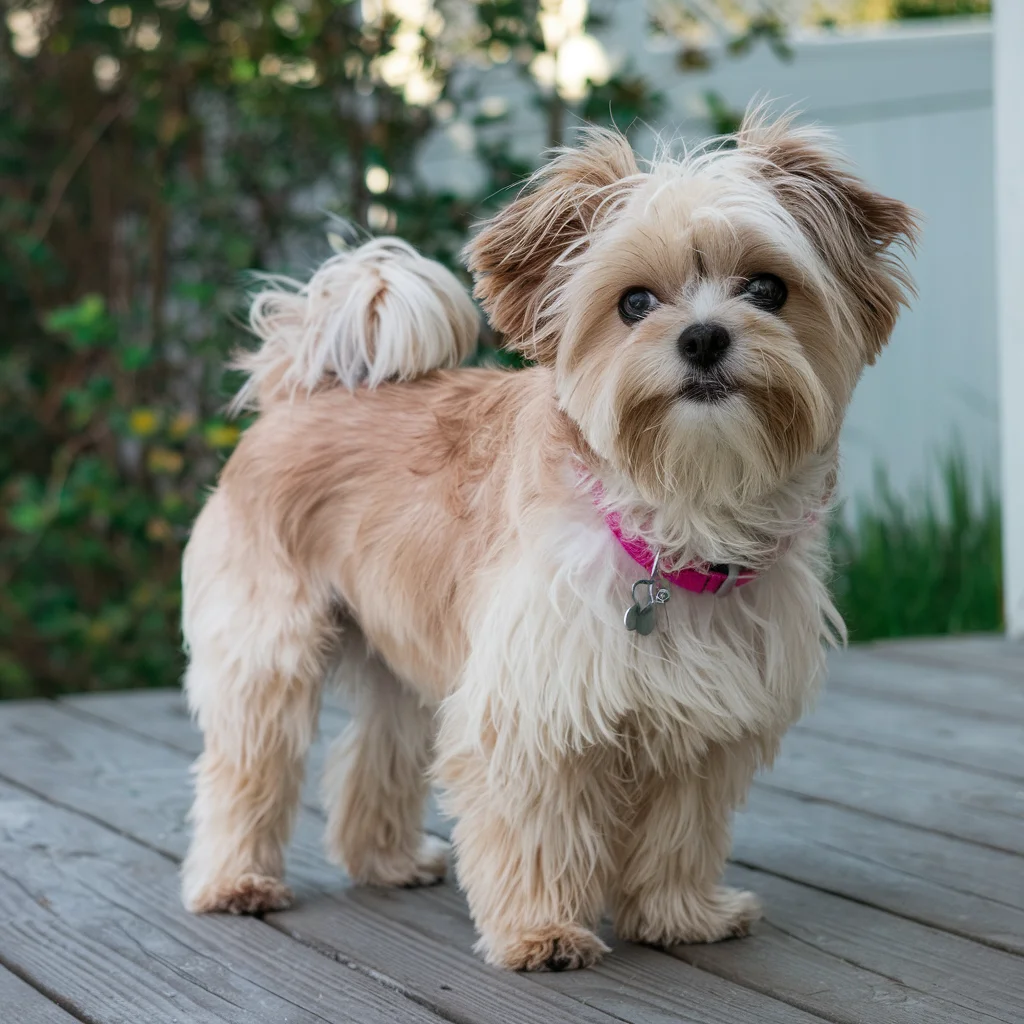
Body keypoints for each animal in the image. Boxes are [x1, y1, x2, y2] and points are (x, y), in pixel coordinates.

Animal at [180, 110, 917, 966]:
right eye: (634, 303)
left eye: (768, 288)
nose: (703, 338)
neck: (675, 524)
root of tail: (307, 387)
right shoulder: (527, 708)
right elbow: (538, 829)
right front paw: (543, 930)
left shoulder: (708, 718)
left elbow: (681, 832)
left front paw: (679, 915)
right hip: (268, 652)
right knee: (247, 767)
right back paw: (235, 880)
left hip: (400, 656)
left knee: (377, 753)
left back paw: (386, 861)